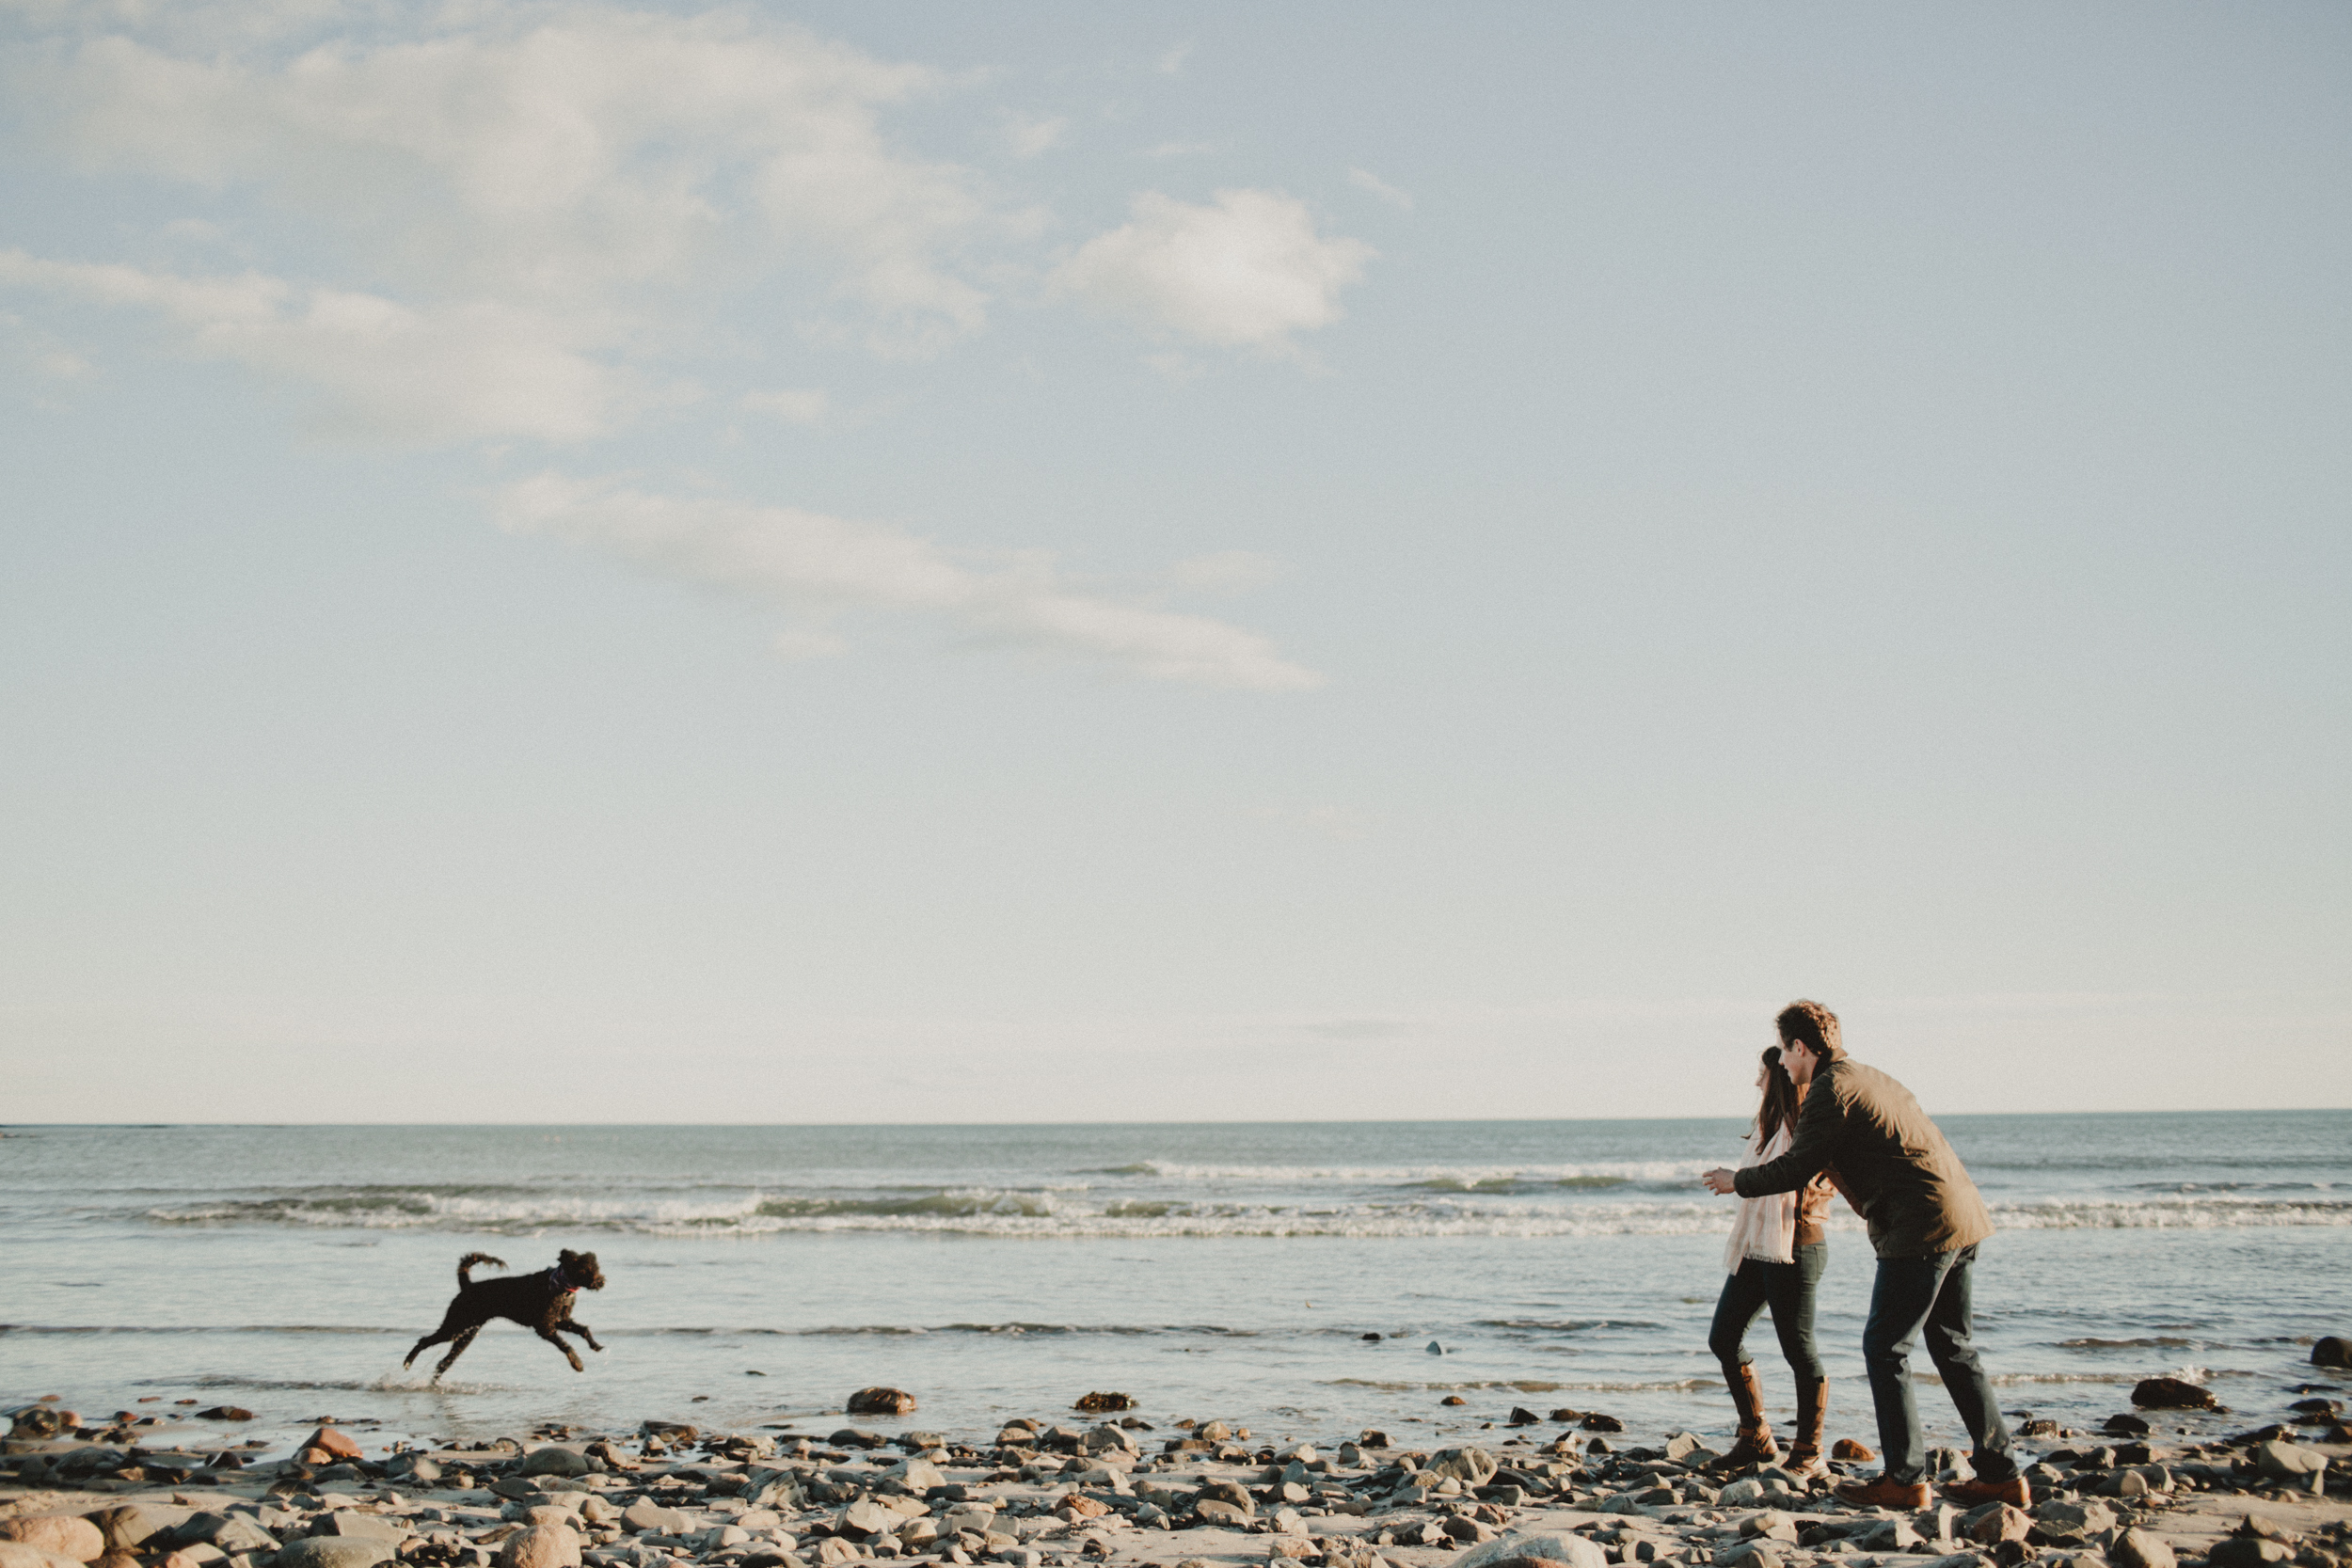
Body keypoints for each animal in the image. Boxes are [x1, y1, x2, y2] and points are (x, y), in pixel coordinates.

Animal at [405, 1250, 607, 1372]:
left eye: (596, 1268)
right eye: (585, 1270)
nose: (601, 1281)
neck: (561, 1285)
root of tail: (467, 1286)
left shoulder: (558, 1320)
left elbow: (583, 1329)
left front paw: (595, 1345)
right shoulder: (544, 1326)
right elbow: (566, 1345)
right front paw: (577, 1363)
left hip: (467, 1333)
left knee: (445, 1361)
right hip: (456, 1325)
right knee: (424, 1342)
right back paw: (408, 1361)